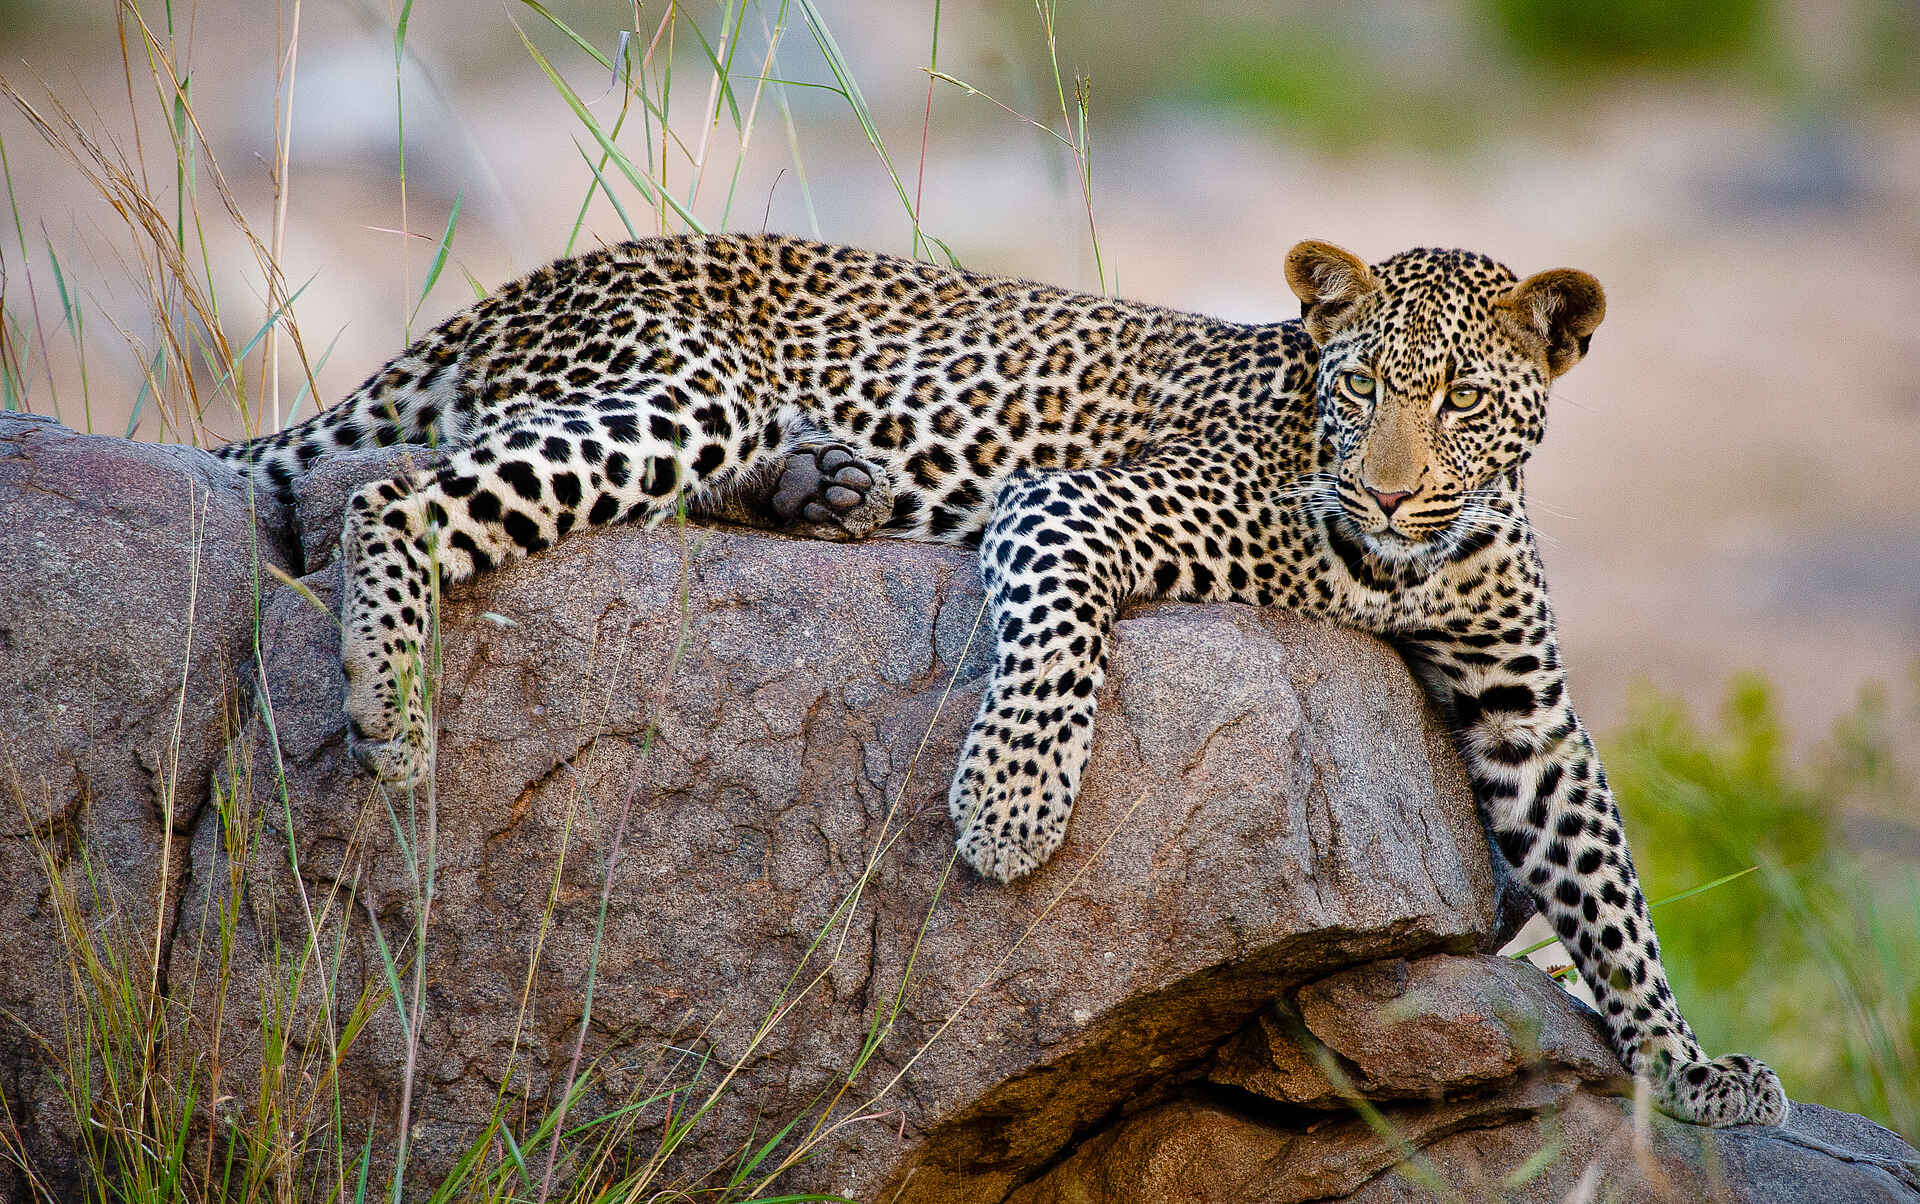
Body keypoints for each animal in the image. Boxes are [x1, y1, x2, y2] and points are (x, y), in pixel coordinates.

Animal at [215, 232, 1788, 1129]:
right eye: (1357, 388)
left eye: (1461, 399)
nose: (1394, 493)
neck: (1404, 556)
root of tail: (514, 291)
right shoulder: (1071, 510)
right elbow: (1054, 645)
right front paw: (1014, 810)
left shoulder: (1525, 706)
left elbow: (1606, 884)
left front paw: (1687, 1063)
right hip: (672, 388)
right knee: (398, 498)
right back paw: (390, 704)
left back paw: (824, 487)